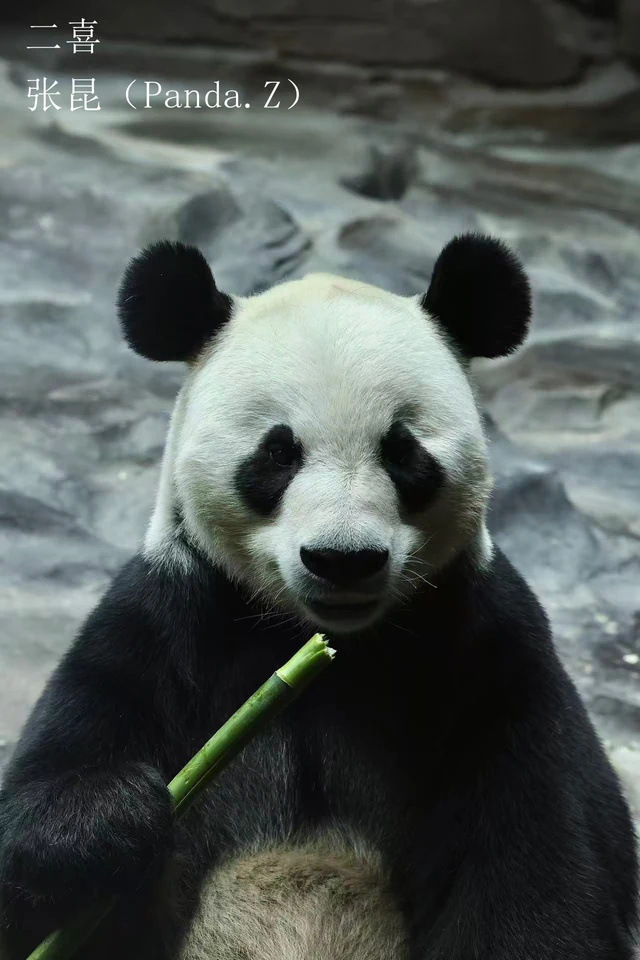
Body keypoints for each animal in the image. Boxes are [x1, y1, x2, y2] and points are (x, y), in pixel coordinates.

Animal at [0, 234, 637, 960]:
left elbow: (544, 860)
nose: (343, 559)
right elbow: (47, 802)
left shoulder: (482, 642)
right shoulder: (171, 616)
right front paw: (111, 821)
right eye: (278, 454)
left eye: (403, 452)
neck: (323, 643)